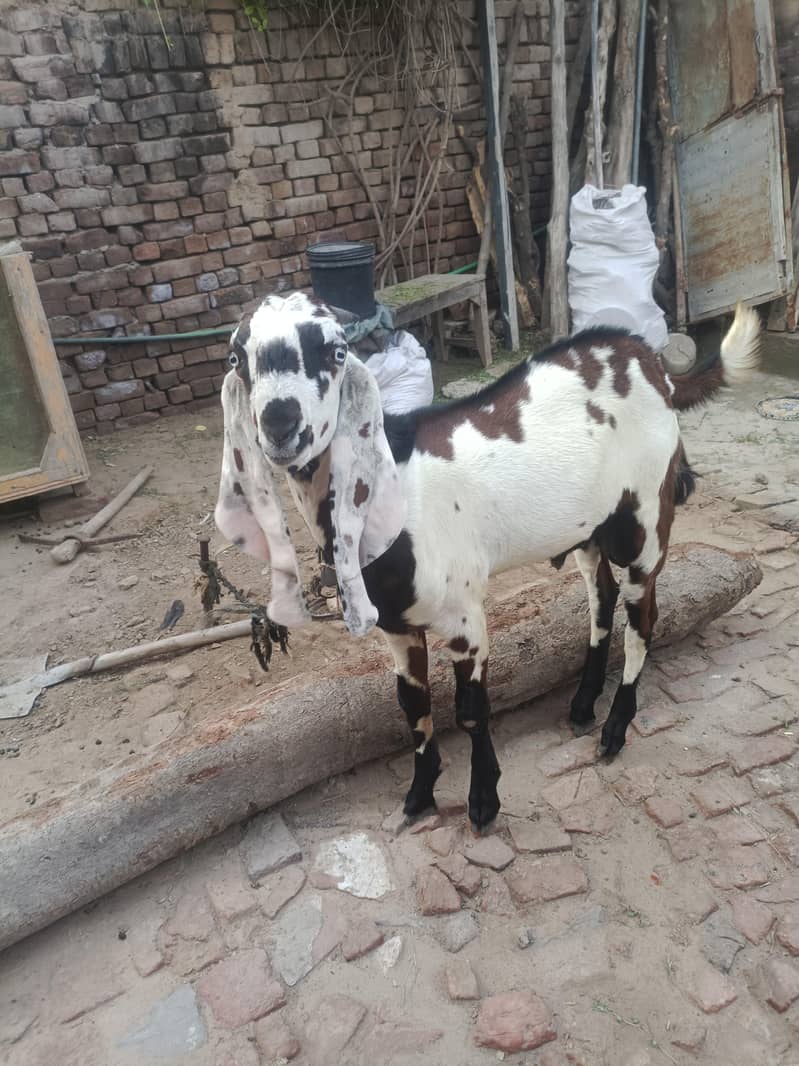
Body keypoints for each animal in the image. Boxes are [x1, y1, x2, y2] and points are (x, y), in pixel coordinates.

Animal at [216, 292, 761, 831]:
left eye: (337, 351)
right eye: (237, 357)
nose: (281, 424)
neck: (394, 488)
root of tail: (650, 363)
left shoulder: (464, 620)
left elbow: (471, 711)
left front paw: (483, 801)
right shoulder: (397, 627)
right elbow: (413, 707)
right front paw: (419, 797)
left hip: (643, 519)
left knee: (642, 619)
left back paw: (614, 731)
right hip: (589, 529)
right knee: (601, 601)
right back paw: (583, 706)